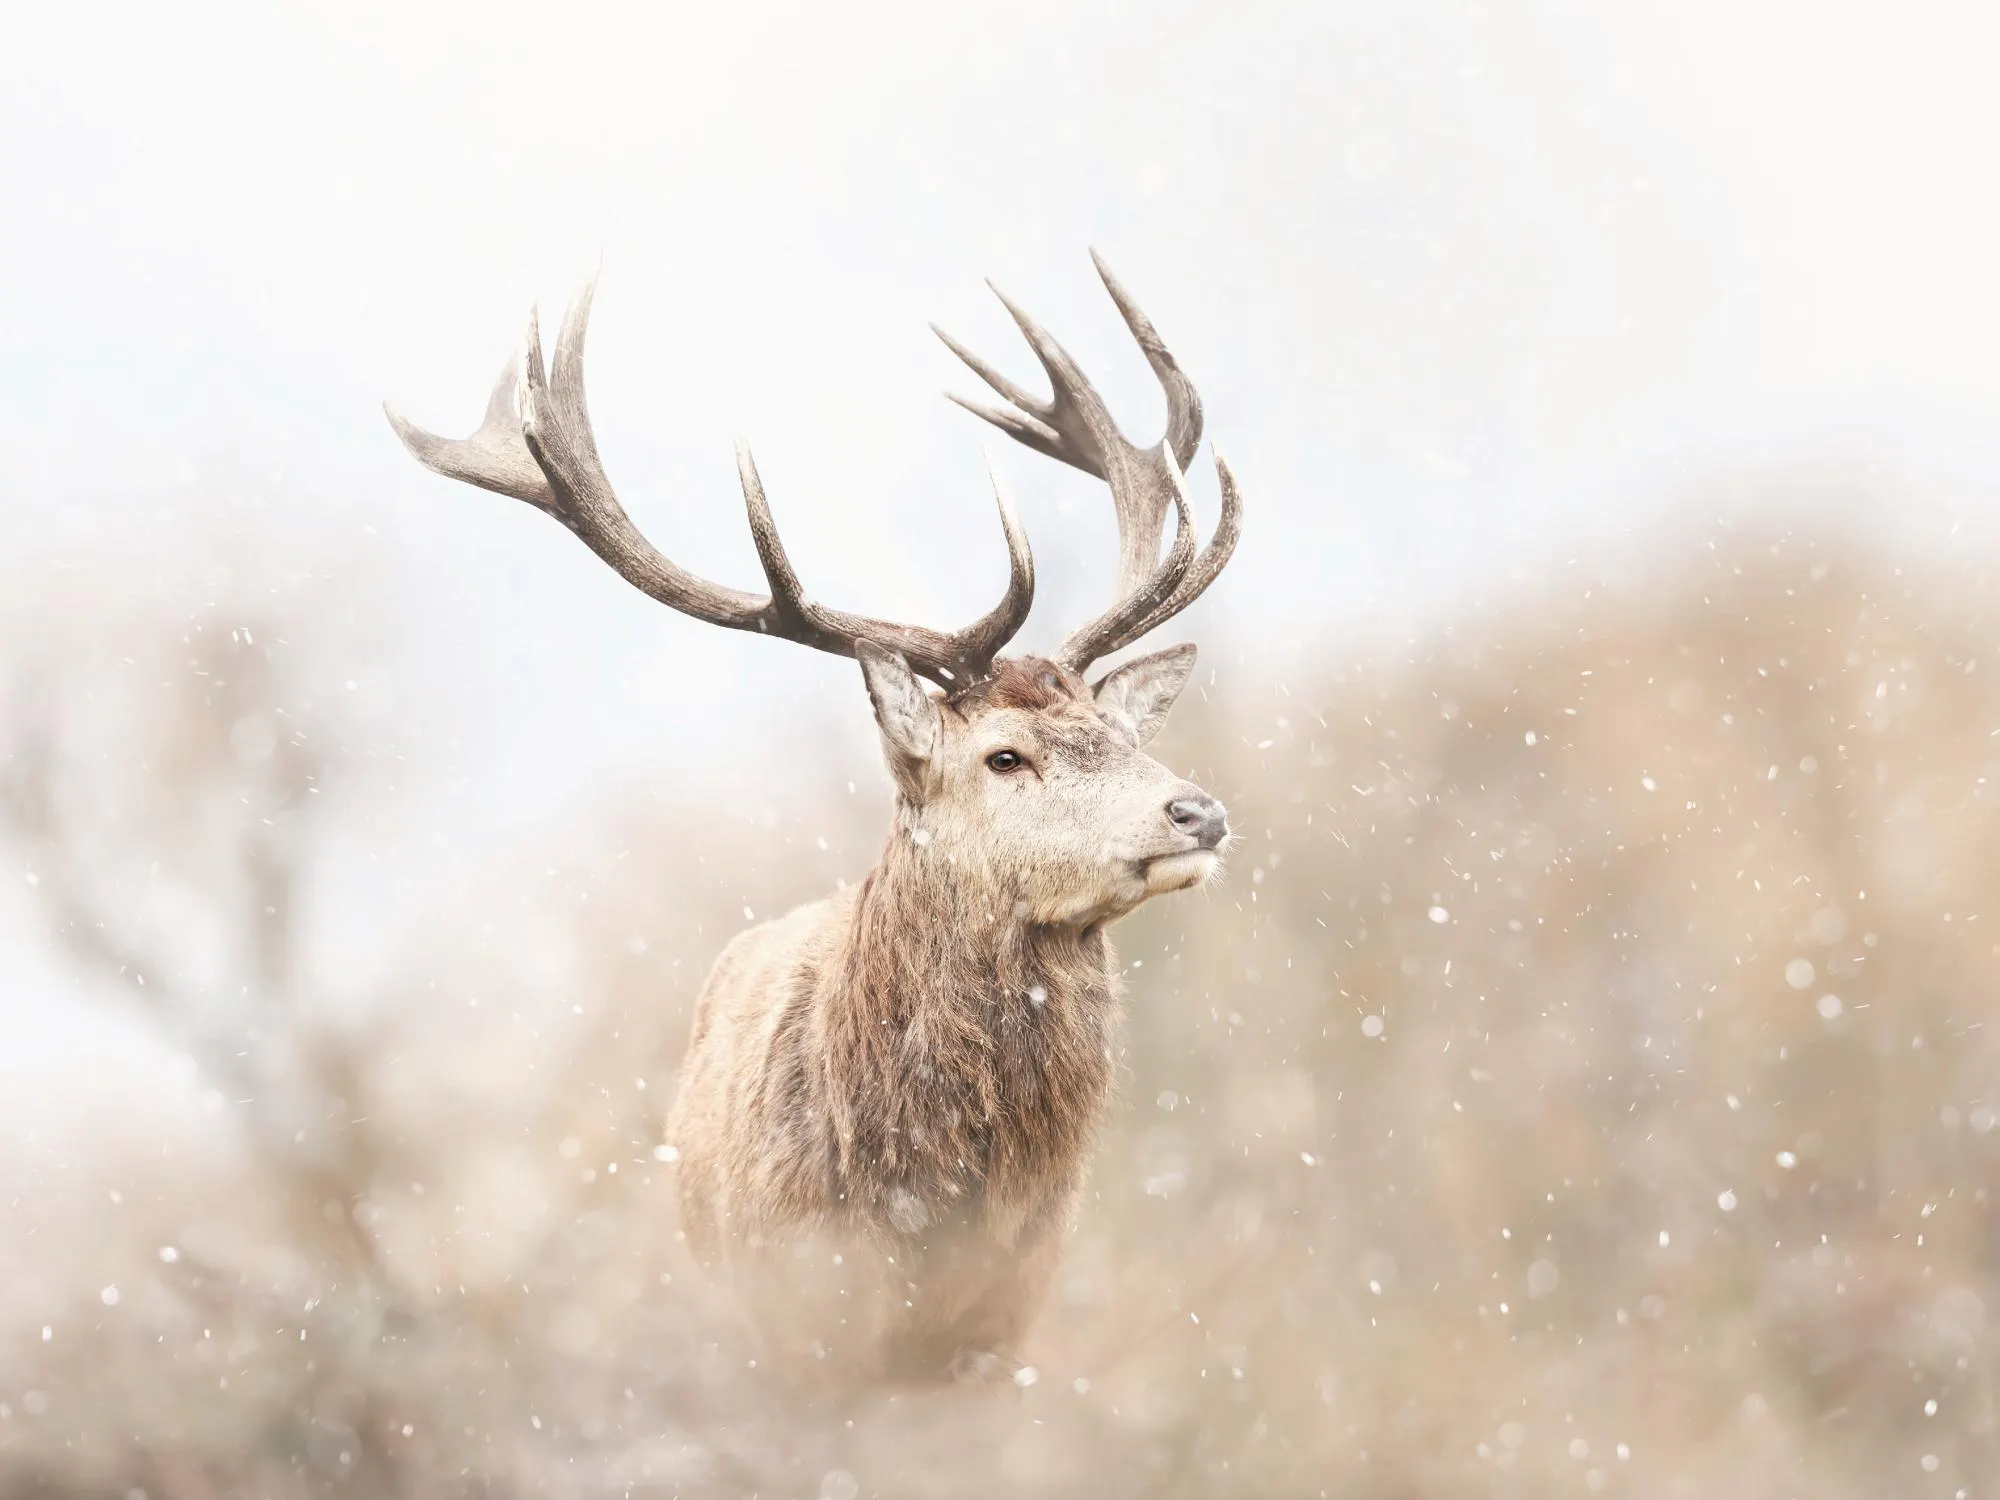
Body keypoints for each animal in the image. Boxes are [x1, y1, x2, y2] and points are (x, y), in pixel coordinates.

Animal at [385, 253, 1241, 1386]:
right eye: (1003, 755)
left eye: (1114, 727)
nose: (1197, 810)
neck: (921, 1206)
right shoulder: (793, 1317)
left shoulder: (1005, 1321)